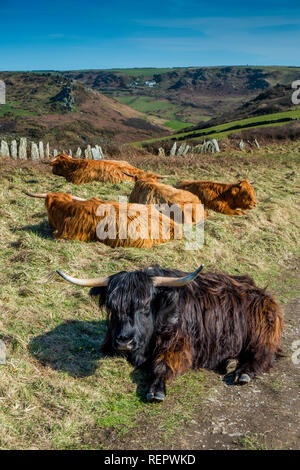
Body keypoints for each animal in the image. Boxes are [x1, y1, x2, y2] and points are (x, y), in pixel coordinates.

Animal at [56, 264, 284, 400]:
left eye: (145, 307)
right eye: (113, 308)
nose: (124, 341)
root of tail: (262, 292)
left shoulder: (178, 343)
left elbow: (162, 365)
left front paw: (156, 390)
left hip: (262, 331)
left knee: (263, 354)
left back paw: (242, 372)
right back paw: (228, 361)